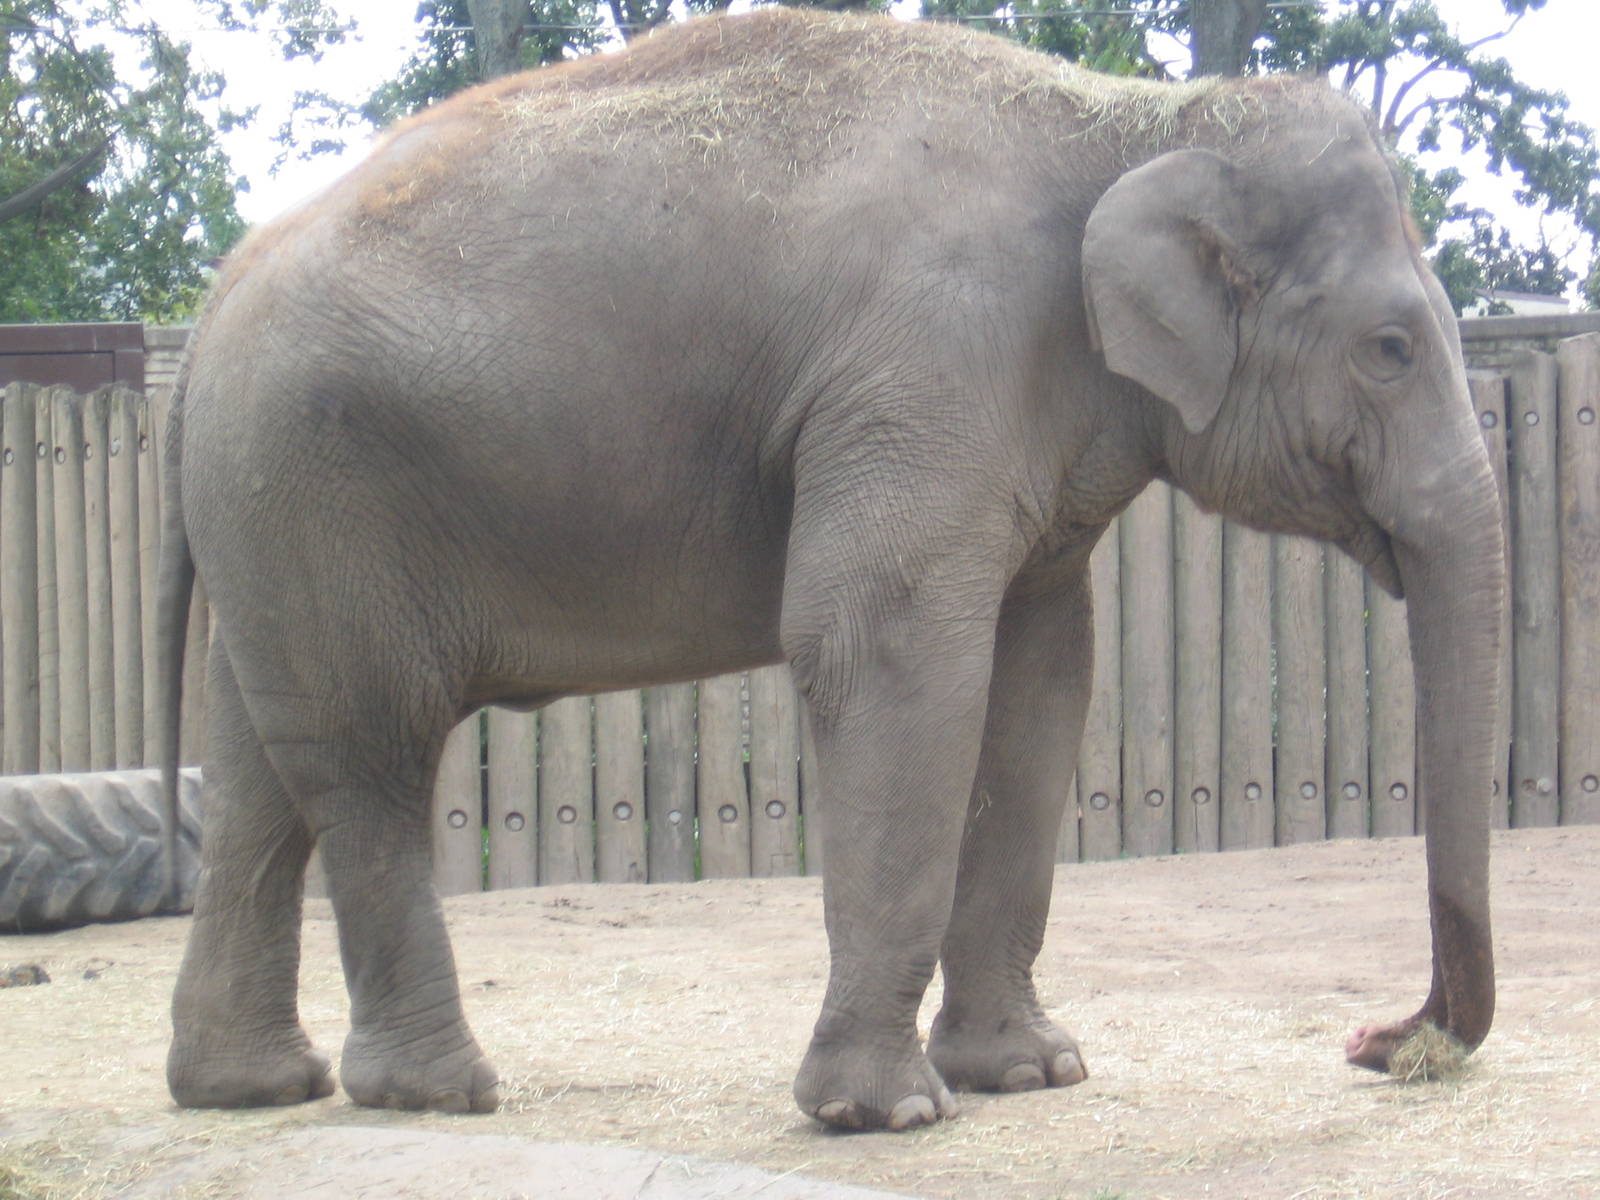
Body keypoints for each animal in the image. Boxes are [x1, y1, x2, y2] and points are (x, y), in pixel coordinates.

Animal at [159, 8, 1505, 1132]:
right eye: (1389, 348)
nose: (1378, 1041)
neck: (1135, 119)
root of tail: (211, 300)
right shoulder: (927, 366)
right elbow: (889, 652)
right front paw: (887, 1115)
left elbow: (1041, 684)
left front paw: (1031, 1074)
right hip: (317, 485)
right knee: (369, 749)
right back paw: (439, 1095)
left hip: (268, 518)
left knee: (256, 771)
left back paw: (252, 1088)